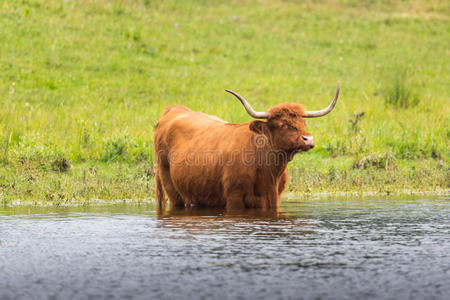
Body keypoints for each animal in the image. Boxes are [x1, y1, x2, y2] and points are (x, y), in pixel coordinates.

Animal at [153, 83, 340, 210]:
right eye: (282, 125)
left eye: (303, 122)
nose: (308, 139)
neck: (269, 171)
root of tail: (174, 109)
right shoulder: (235, 197)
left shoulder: (274, 197)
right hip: (170, 186)